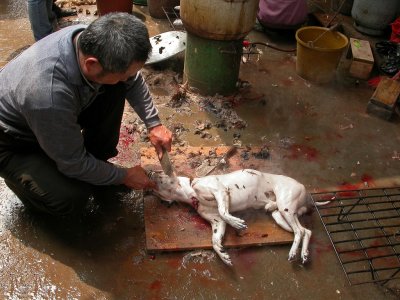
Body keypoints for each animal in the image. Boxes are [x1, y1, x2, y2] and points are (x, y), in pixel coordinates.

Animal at [148, 169, 326, 264]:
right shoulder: (217, 222)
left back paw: (294, 252)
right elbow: (215, 241)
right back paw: (303, 254)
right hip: (280, 215)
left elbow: (224, 212)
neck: (190, 192)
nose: (149, 171)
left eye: (159, 171)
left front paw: (236, 223)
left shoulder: (220, 191)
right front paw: (223, 255)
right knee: (305, 231)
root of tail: (305, 191)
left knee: (300, 231)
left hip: (286, 206)